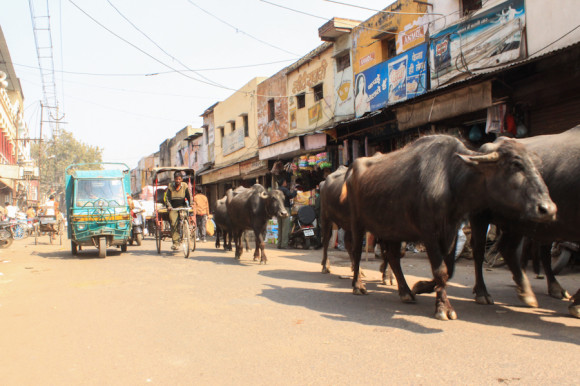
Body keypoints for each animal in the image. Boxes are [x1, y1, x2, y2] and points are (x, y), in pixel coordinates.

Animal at [342, 134, 556, 322]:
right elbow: (441, 271)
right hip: (357, 223)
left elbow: (449, 270)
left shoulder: (451, 230)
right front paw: (443, 308)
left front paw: (421, 286)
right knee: (356, 252)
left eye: (536, 165)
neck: (451, 178)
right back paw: (358, 285)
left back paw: (406, 292)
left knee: (393, 257)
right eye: (516, 164)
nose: (548, 209)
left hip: (391, 229)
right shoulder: (429, 233)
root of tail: (351, 170)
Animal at [468, 125, 580, 310]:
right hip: (482, 216)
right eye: (516, 165)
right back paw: (482, 292)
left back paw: (538, 289)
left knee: (516, 250)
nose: (550, 208)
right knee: (479, 250)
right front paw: (577, 304)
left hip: (519, 223)